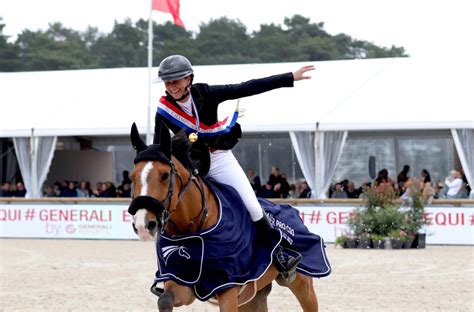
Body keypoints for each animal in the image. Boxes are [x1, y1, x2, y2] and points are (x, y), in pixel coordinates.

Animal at [129, 122, 330, 312]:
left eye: (164, 175)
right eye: (132, 177)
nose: (142, 225)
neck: (194, 228)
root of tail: (292, 209)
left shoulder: (228, 287)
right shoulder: (182, 282)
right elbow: (165, 300)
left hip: (301, 282)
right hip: (252, 297)